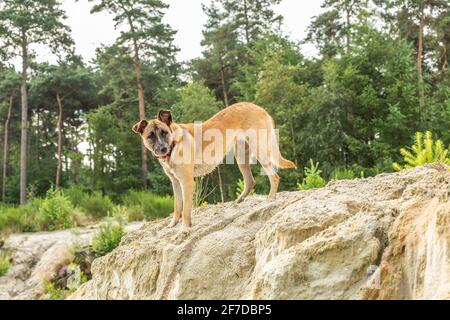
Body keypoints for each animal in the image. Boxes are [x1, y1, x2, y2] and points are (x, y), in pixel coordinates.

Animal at [132, 101, 298, 231]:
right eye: (151, 136)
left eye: (164, 132)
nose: (162, 149)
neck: (174, 143)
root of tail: (258, 107)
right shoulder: (175, 183)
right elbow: (177, 206)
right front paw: (173, 224)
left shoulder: (187, 182)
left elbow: (185, 209)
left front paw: (184, 228)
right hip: (241, 157)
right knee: (250, 181)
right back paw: (239, 200)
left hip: (260, 150)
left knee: (274, 176)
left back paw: (270, 198)